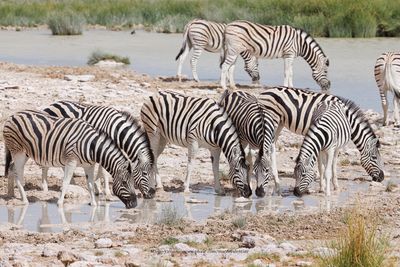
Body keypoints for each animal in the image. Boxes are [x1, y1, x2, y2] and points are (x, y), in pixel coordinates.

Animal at [3, 110, 150, 208]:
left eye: (134, 182)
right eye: (124, 183)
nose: (135, 204)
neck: (92, 146)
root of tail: (12, 115)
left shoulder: (89, 165)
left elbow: (90, 184)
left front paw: (94, 203)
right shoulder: (71, 161)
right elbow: (66, 182)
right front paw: (60, 203)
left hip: (24, 153)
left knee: (11, 168)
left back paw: (11, 195)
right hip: (18, 151)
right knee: (18, 173)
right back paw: (24, 200)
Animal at [256, 87, 384, 196]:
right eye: (374, 158)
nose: (382, 178)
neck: (348, 118)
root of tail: (262, 93)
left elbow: (322, 163)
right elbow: (330, 164)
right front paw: (334, 185)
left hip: (279, 123)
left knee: (271, 146)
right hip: (272, 120)